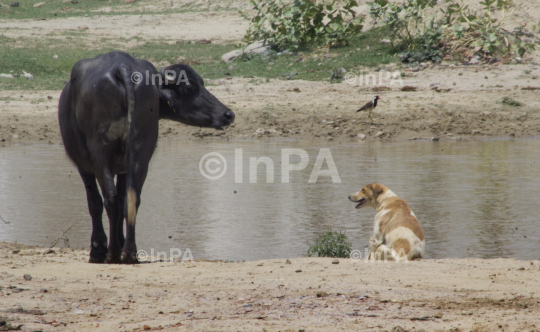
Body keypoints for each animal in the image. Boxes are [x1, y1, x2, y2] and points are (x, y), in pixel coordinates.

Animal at [58, 52, 233, 264]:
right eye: (191, 86)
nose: (228, 114)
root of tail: (122, 66)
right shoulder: (123, 167)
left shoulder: (84, 166)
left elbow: (95, 204)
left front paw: (98, 249)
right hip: (142, 150)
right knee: (132, 198)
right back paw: (129, 253)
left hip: (101, 152)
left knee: (110, 198)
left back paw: (113, 253)